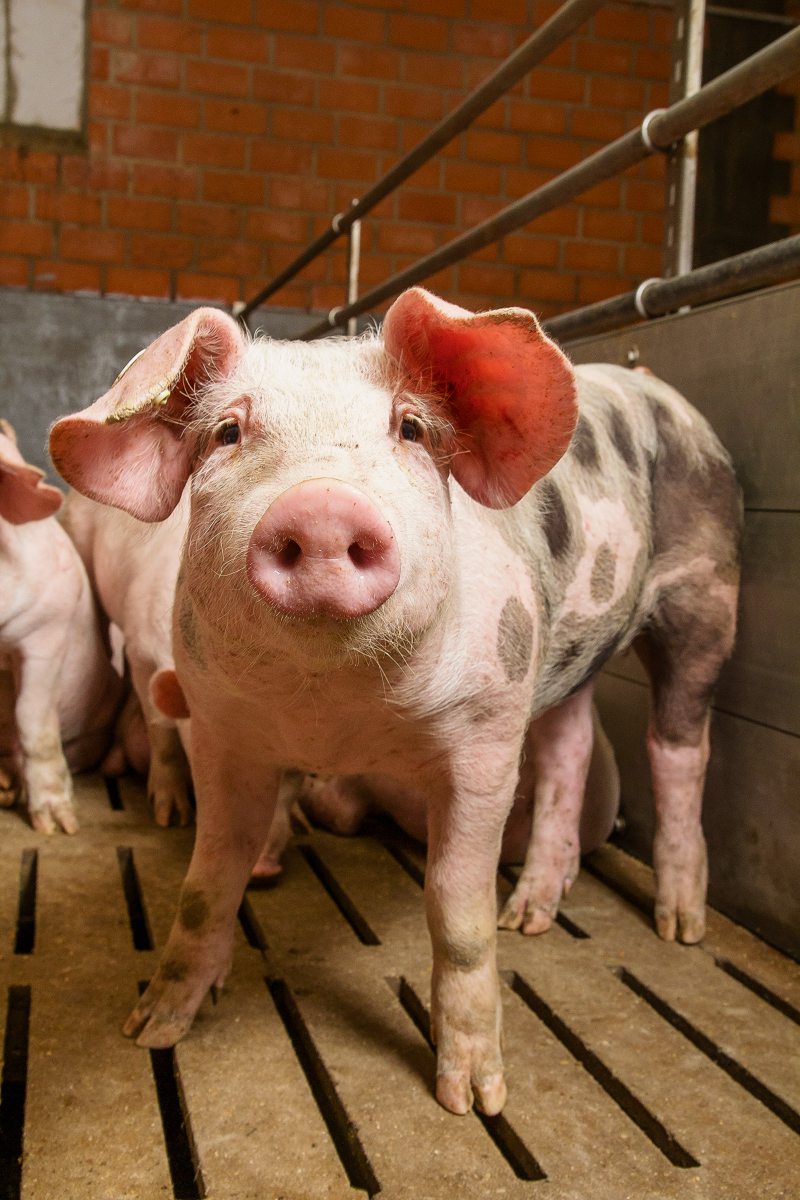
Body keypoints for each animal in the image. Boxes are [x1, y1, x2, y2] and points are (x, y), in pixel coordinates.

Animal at [49, 289, 741, 1116]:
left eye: (410, 427)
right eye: (227, 432)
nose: (321, 507)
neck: (333, 714)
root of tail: (666, 396)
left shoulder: (484, 735)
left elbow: (457, 909)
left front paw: (473, 1099)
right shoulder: (222, 732)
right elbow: (204, 886)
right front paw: (151, 1028)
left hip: (708, 591)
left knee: (682, 744)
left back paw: (681, 927)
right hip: (566, 650)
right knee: (570, 746)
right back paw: (532, 917)